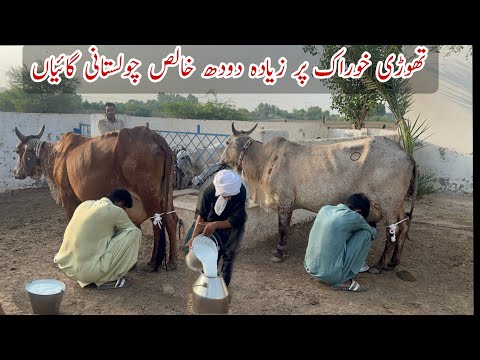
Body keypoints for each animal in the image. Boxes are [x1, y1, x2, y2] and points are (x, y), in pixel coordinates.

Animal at [15, 125, 180, 272]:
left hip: (148, 193)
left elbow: (71, 222)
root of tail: (154, 136)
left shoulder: (67, 195)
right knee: (171, 220)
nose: (16, 173)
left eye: (18, 150)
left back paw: (153, 263)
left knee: (157, 224)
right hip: (166, 193)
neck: (56, 154)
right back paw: (172, 261)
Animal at [220, 122, 416, 272]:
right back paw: (394, 262)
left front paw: (279, 252)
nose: (221, 161)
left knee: (392, 231)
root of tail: (406, 154)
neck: (265, 159)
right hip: (398, 203)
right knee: (404, 225)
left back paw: (381, 264)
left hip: (388, 203)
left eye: (227, 142)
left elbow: (282, 228)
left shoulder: (285, 200)